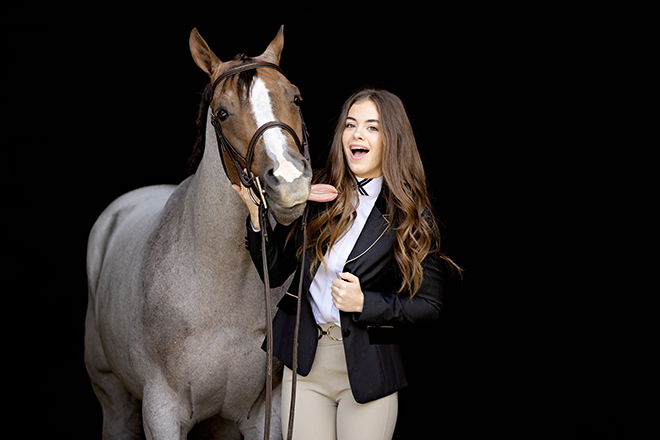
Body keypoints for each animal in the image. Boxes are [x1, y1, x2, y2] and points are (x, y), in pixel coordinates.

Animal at [85, 27, 312, 440]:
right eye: (222, 113)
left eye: (295, 97)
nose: (290, 183)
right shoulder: (162, 413)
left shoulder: (264, 413)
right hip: (114, 400)